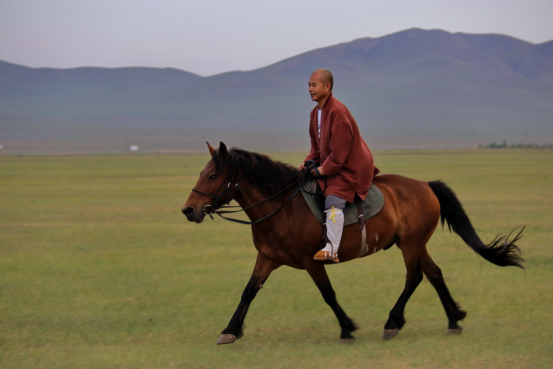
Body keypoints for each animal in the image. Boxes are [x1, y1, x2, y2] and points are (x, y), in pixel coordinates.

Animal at [181, 142, 520, 344]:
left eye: (212, 176)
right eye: (202, 172)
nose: (189, 210)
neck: (282, 208)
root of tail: (425, 185)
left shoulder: (311, 261)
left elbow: (328, 294)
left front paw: (346, 327)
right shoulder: (267, 258)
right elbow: (248, 292)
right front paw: (230, 330)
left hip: (411, 245)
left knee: (414, 277)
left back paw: (393, 321)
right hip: (412, 244)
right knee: (434, 274)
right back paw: (453, 318)